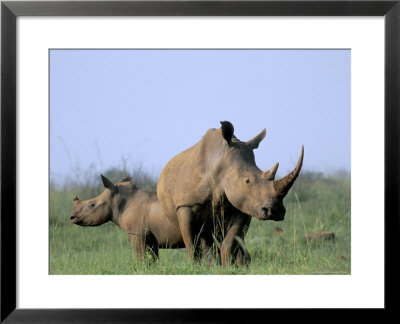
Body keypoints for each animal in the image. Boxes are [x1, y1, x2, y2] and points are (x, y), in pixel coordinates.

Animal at [157, 121, 304, 266]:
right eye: (247, 181)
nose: (276, 211)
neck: (221, 163)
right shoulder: (186, 204)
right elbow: (191, 243)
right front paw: (194, 267)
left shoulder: (243, 205)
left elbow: (231, 240)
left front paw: (228, 267)